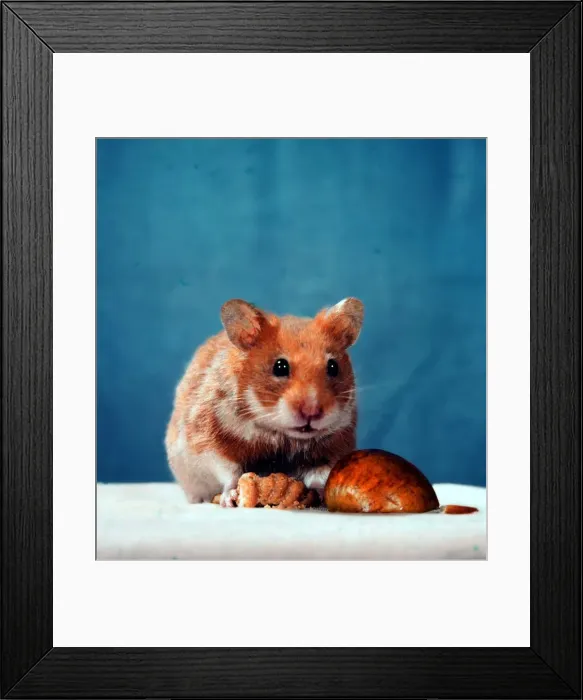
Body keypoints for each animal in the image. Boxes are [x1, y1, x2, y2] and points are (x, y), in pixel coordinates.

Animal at [165, 297, 364, 507]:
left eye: (333, 367)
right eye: (280, 366)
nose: (312, 412)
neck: (279, 434)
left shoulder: (331, 449)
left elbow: (319, 474)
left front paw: (319, 496)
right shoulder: (206, 441)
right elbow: (229, 471)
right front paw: (230, 499)